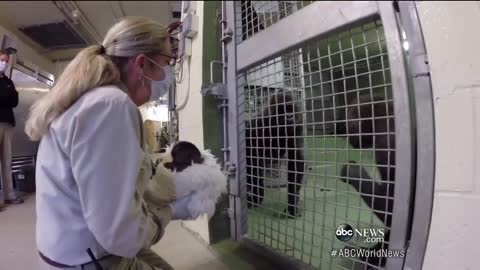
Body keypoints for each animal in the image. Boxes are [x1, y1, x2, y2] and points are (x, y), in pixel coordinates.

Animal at [238, 17, 396, 268]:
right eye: (283, 111)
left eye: (291, 110)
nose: (289, 117)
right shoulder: (260, 125)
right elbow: (253, 156)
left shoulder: (296, 127)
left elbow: (296, 162)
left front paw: (292, 204)